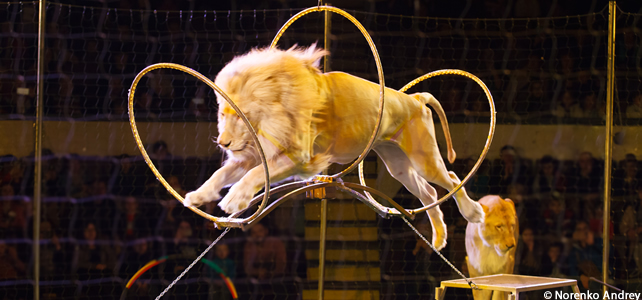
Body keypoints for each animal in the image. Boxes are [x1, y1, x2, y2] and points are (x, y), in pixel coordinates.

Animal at [182, 44, 482, 250]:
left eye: (240, 115)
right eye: (222, 114)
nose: (223, 142)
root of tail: (415, 98)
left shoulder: (300, 157)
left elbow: (253, 176)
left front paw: (234, 199)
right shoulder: (256, 154)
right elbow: (221, 174)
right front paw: (197, 196)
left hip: (423, 158)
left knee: (450, 178)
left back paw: (473, 213)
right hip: (398, 166)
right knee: (429, 192)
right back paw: (439, 238)